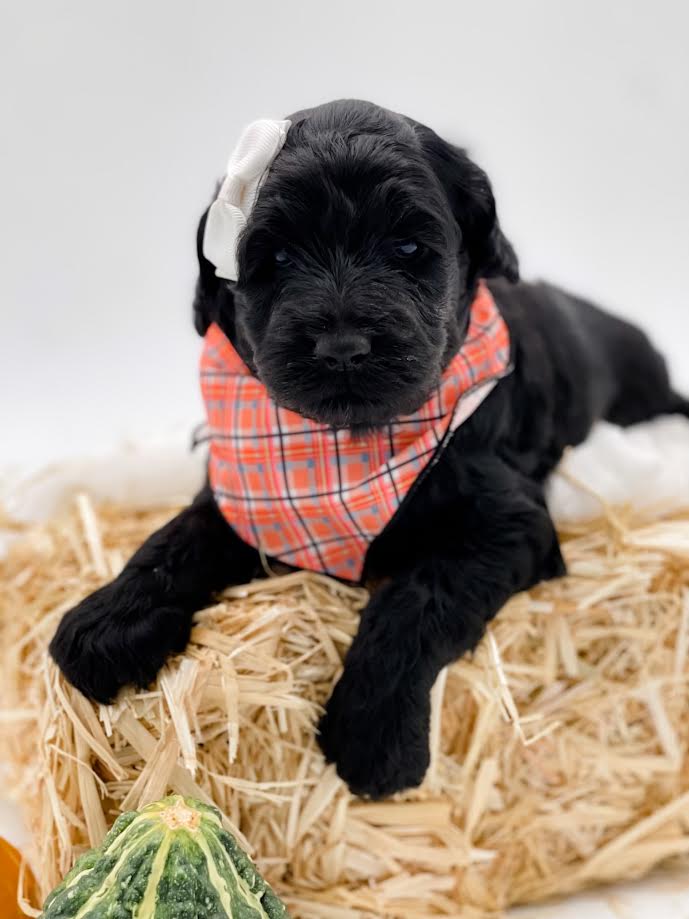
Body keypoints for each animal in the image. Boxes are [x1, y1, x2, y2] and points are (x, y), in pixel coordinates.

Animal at [49, 100, 688, 800]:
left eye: (407, 248)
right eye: (276, 258)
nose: (342, 347)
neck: (353, 443)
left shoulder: (509, 524)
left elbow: (415, 598)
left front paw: (372, 732)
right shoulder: (250, 497)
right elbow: (178, 537)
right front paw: (107, 622)